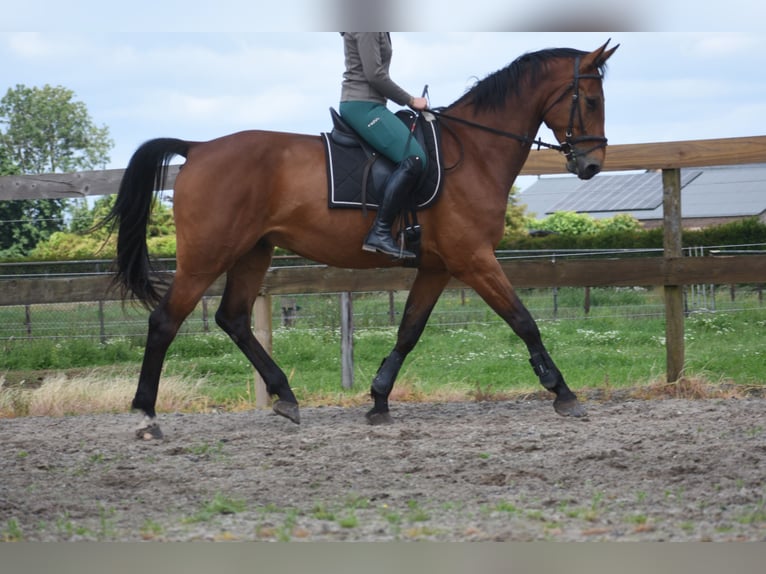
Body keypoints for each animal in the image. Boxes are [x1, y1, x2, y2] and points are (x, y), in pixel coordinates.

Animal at [104, 40, 619, 439]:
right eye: (592, 100)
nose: (592, 165)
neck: (473, 152)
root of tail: (198, 148)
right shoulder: (473, 259)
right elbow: (524, 320)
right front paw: (563, 392)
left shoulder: (437, 266)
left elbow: (409, 330)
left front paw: (379, 400)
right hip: (206, 257)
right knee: (164, 322)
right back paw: (147, 416)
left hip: (253, 252)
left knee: (233, 319)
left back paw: (286, 396)